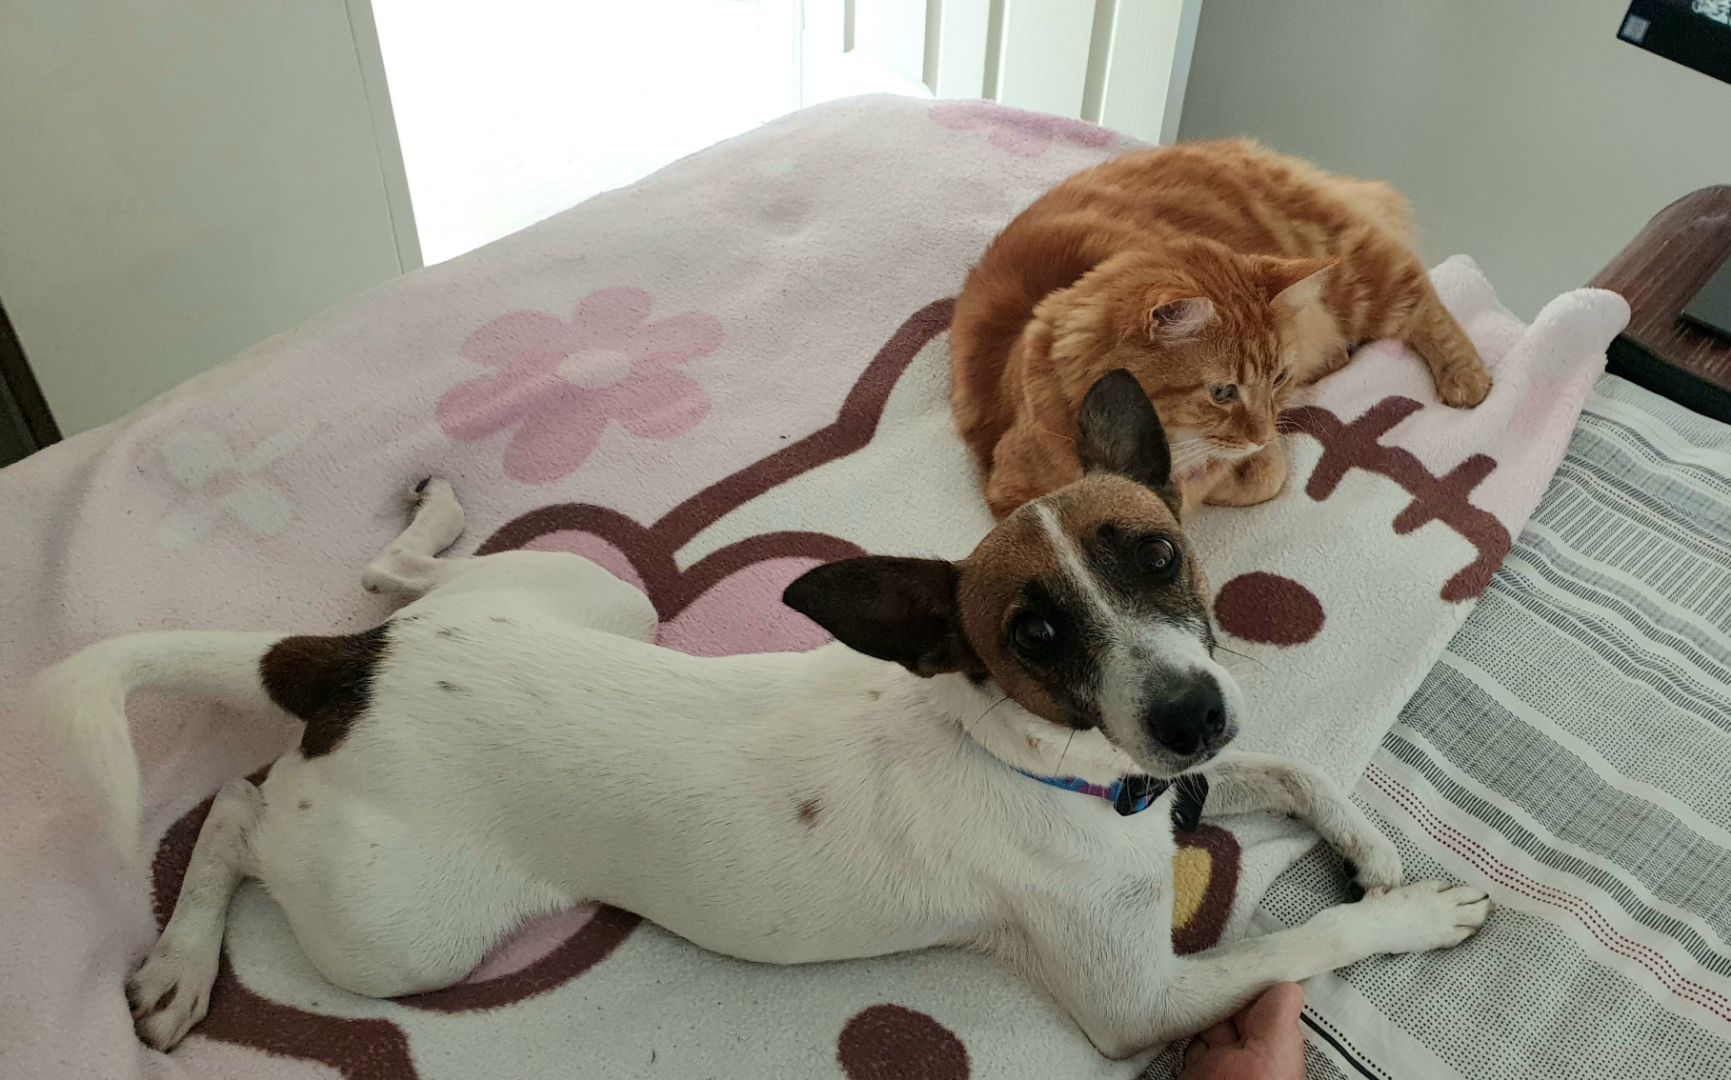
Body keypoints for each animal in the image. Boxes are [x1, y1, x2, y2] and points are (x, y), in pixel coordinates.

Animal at [37, 369, 1488, 1058]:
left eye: (1156, 554)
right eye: (1033, 636)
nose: (1191, 718)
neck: (1062, 767)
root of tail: (347, 669)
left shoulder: (1198, 774)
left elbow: (1301, 771)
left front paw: (1372, 850)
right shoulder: (1139, 1002)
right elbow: (1296, 950)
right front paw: (1406, 916)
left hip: (586, 595)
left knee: (391, 586)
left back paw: (431, 525)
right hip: (398, 933)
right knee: (233, 812)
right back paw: (178, 965)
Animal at [949, 138, 1491, 518]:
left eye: (1275, 379)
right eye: (1222, 392)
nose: (1264, 428)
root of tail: (1238, 147)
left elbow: (1261, 476)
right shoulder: (1013, 492)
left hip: (1356, 277)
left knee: (1421, 298)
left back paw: (1466, 379)